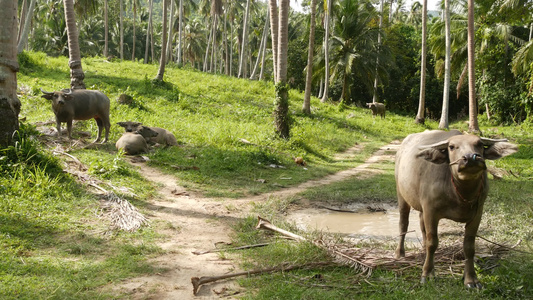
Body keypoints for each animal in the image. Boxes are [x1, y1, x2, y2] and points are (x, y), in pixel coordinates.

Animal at [394, 129, 516, 288]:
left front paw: (471, 279)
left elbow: (469, 247)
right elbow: (432, 243)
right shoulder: (431, 211)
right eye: (451, 147)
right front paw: (427, 273)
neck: (458, 193)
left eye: (480, 144)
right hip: (401, 195)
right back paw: (400, 252)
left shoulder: (477, 213)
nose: (470, 158)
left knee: (421, 224)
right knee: (403, 223)